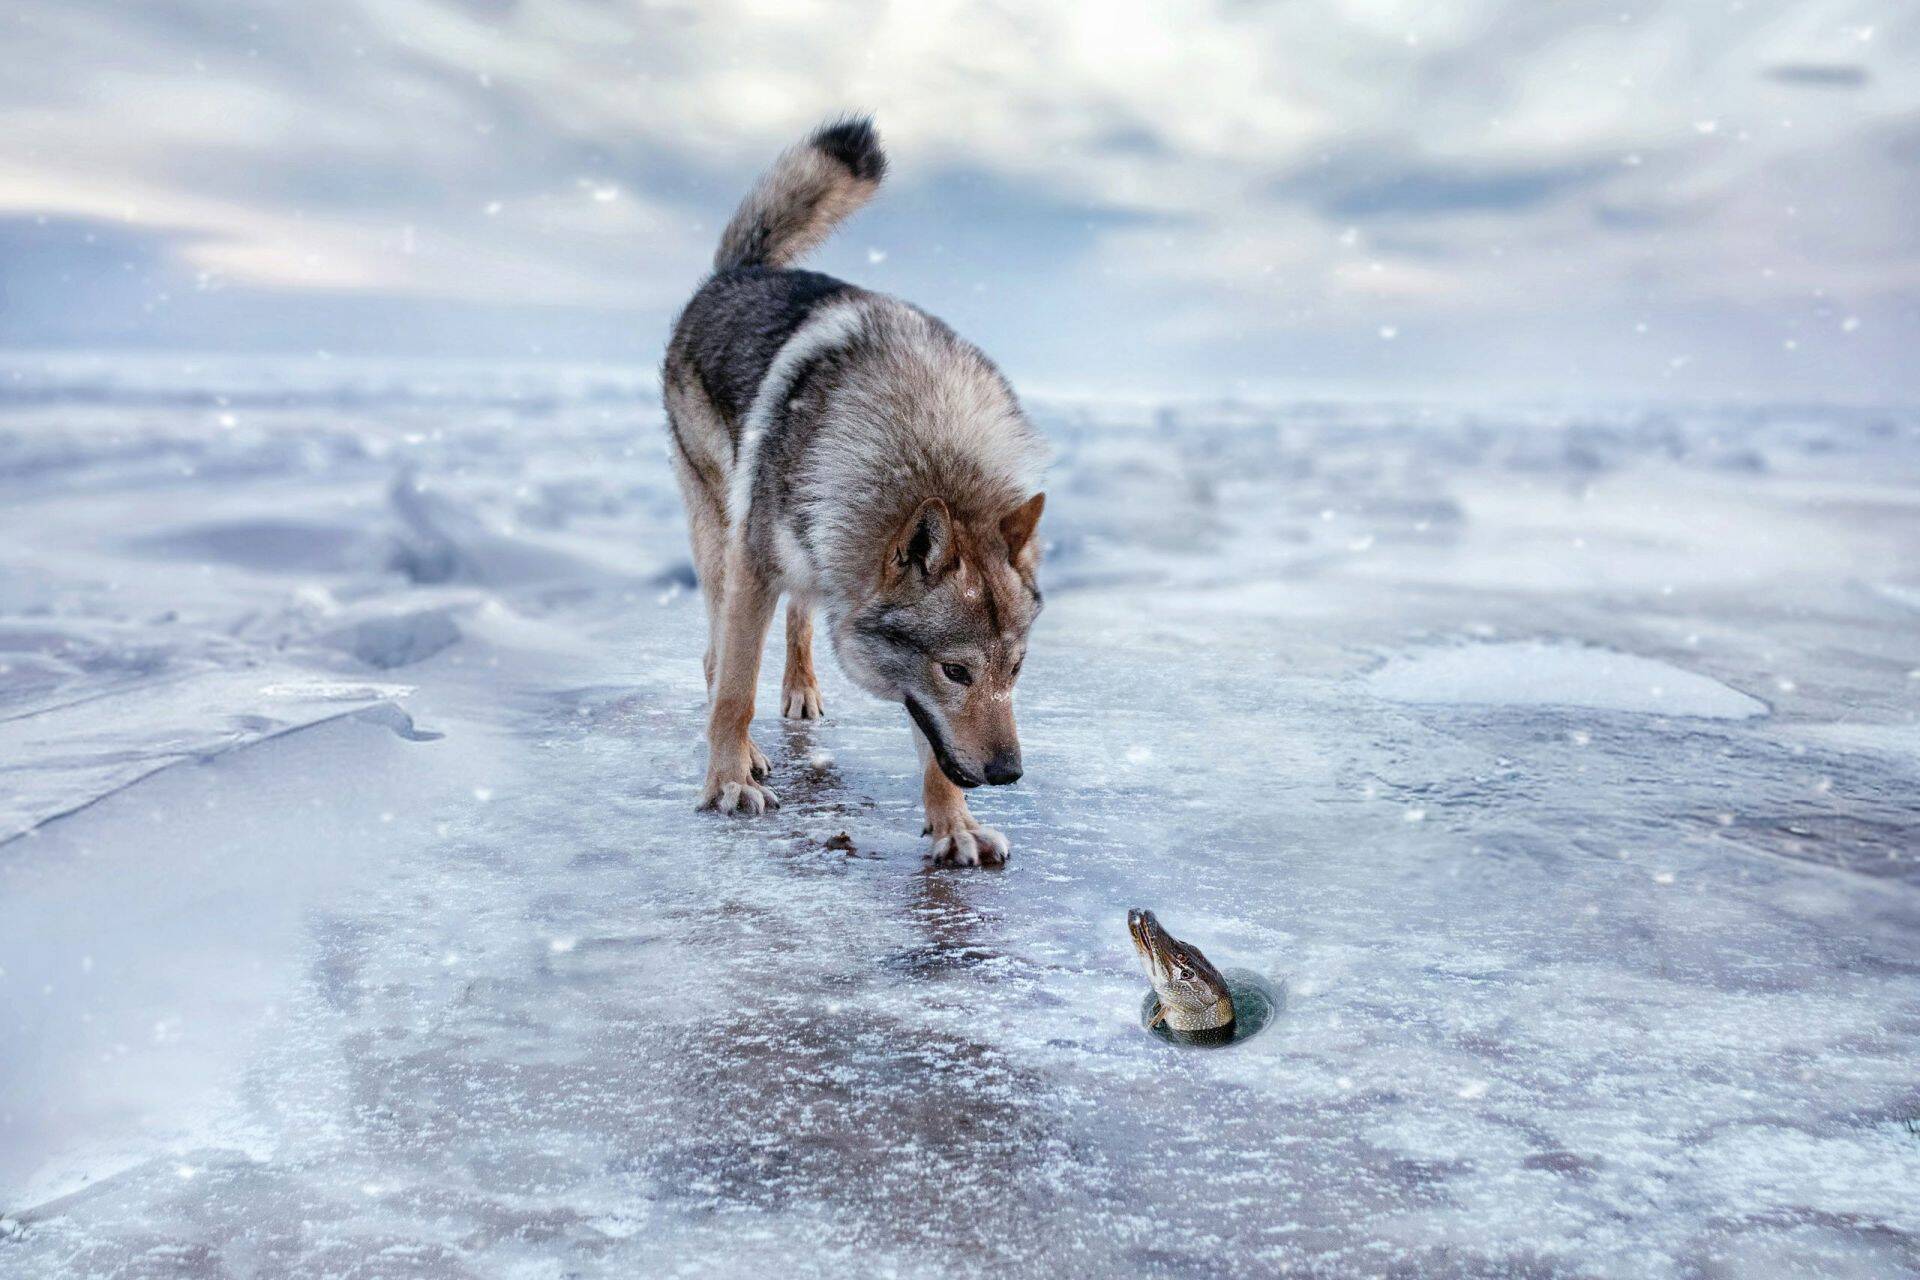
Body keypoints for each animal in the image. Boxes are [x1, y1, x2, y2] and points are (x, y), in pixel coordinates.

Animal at [664, 117, 1052, 871]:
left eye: (1016, 669)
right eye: (956, 671)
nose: (1009, 773)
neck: (924, 450)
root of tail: (740, 272)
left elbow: (935, 753)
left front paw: (955, 827)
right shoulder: (755, 567)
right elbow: (735, 690)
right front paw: (727, 783)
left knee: (799, 620)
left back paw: (802, 693)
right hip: (719, 534)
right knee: (716, 656)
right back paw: (749, 752)